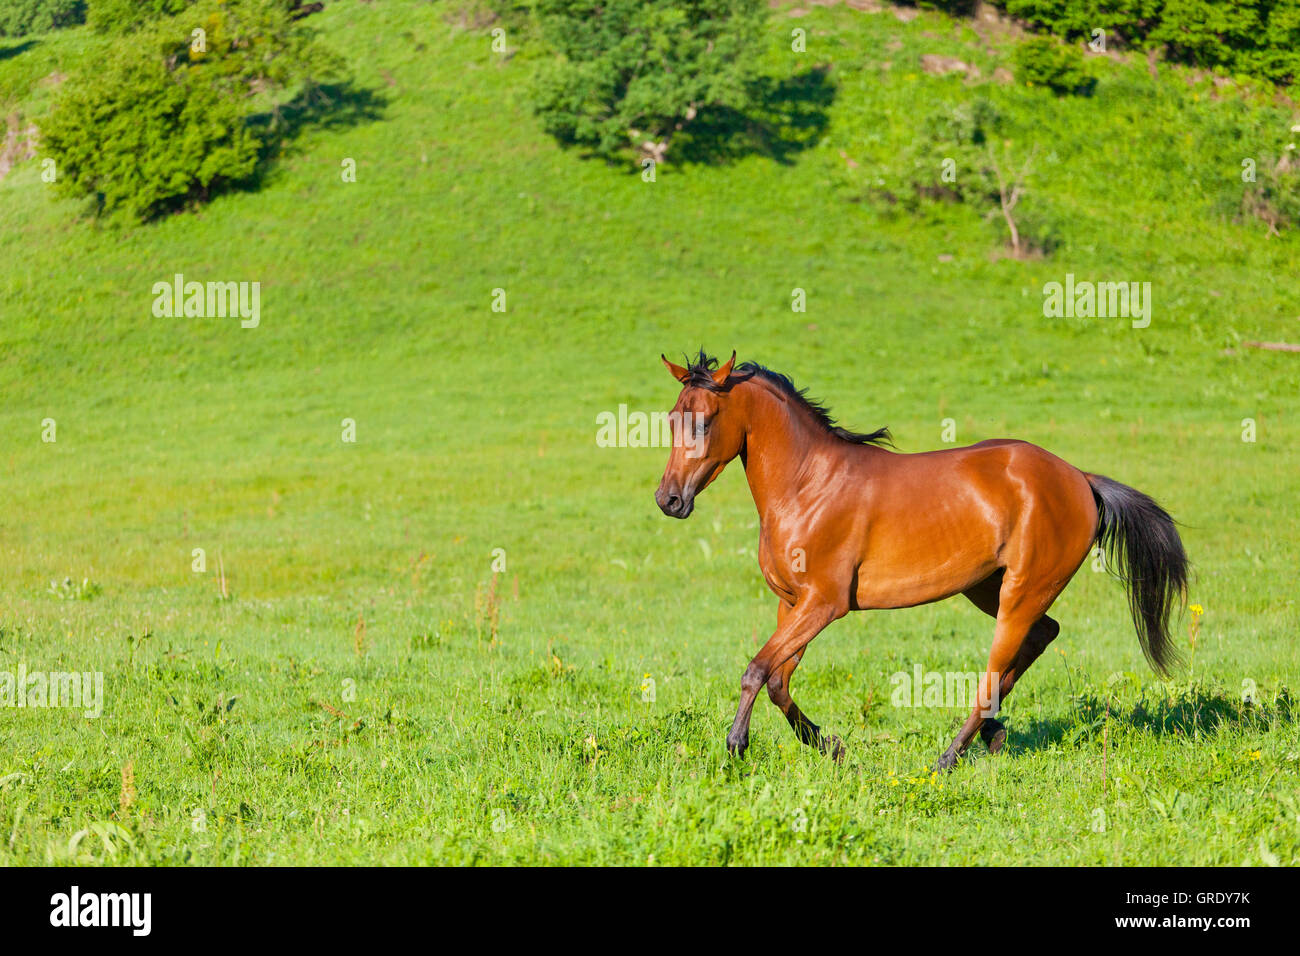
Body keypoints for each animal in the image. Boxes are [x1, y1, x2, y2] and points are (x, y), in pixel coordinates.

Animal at [655, 351, 1185, 770]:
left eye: (704, 421)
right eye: (671, 419)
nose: (669, 500)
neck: (808, 485)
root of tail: (1079, 478)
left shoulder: (824, 604)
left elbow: (756, 670)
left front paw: (736, 744)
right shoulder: (791, 603)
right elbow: (777, 681)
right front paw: (829, 745)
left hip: (1022, 593)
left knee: (994, 669)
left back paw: (949, 756)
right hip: (987, 588)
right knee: (1042, 635)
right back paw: (991, 733)